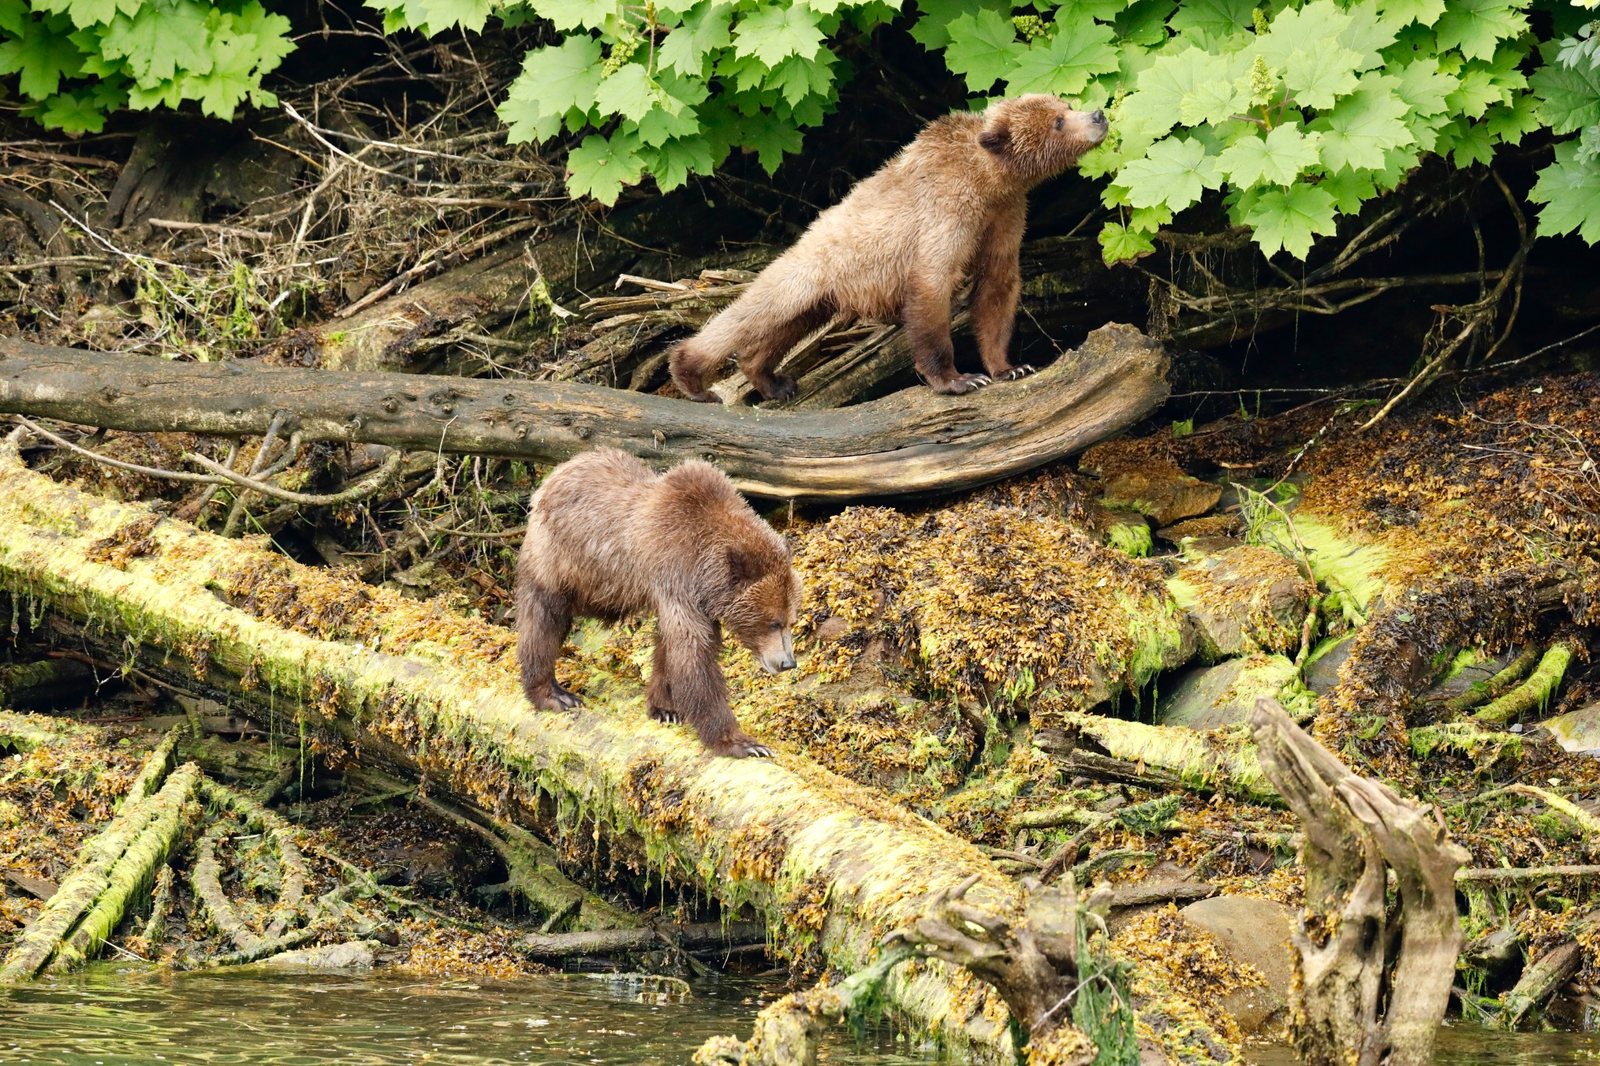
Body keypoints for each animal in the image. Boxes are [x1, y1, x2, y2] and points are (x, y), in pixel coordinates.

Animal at [514, 448, 800, 759]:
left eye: (791, 620)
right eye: (773, 622)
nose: (788, 662)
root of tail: (553, 476)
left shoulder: (684, 596)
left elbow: (669, 649)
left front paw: (665, 709)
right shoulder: (677, 580)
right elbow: (693, 656)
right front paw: (743, 742)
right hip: (558, 559)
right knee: (543, 621)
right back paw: (554, 694)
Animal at [669, 94, 1109, 404]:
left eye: (1064, 105)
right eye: (1057, 121)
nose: (1099, 115)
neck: (990, 181)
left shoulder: (1005, 216)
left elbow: (998, 286)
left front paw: (1010, 367)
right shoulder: (946, 216)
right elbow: (933, 288)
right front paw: (958, 379)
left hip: (822, 299)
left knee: (785, 327)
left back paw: (772, 380)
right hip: (810, 268)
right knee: (752, 313)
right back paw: (691, 377)